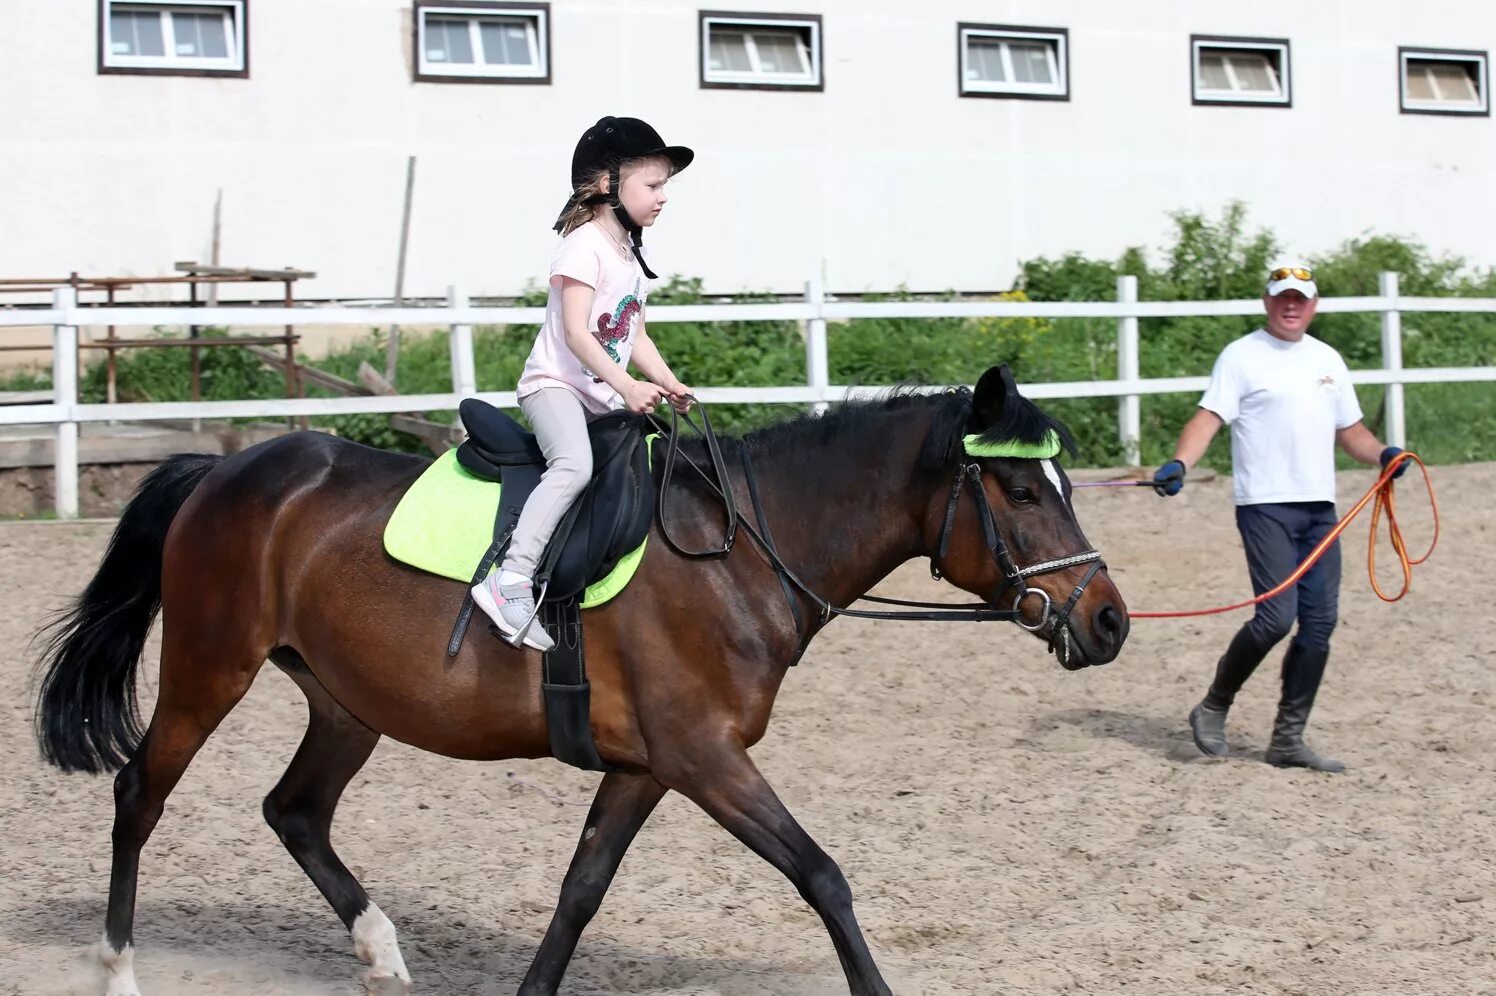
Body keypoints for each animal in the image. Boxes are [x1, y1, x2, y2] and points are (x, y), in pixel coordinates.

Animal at [32, 364, 1124, 993]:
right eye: (1020, 489)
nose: (1108, 621)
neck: (737, 550)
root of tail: (223, 470)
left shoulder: (646, 767)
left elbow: (579, 891)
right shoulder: (703, 757)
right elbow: (822, 877)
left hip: (346, 701)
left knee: (294, 810)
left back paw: (381, 954)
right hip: (211, 667)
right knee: (140, 792)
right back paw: (118, 968)